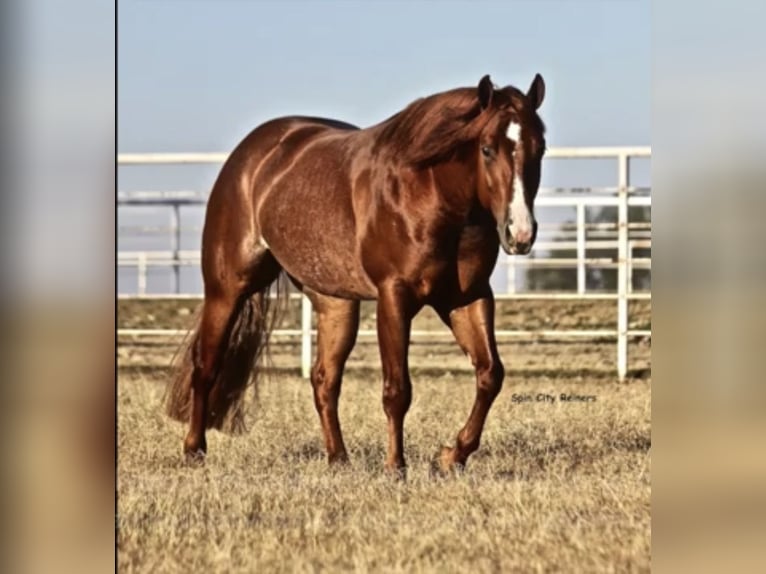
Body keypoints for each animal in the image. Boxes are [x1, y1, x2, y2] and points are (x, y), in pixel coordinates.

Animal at [166, 73, 547, 474]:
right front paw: (396, 467)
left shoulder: (467, 297)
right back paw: (194, 450)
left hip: (335, 303)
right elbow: (397, 389)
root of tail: (251, 154)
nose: (520, 233)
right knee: (206, 366)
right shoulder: (394, 297)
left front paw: (450, 456)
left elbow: (490, 375)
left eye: (540, 148)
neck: (428, 192)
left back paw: (338, 459)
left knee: (324, 379)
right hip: (227, 289)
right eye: (487, 149)